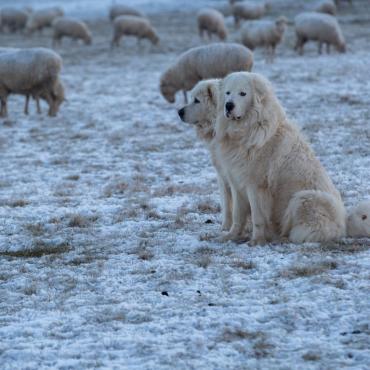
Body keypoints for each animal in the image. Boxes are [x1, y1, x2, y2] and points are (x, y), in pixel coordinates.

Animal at [214, 72, 346, 246]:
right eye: (228, 93)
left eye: (243, 93)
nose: (228, 105)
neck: (247, 130)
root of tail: (342, 228)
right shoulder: (237, 183)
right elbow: (237, 216)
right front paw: (230, 236)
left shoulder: (256, 186)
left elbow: (257, 217)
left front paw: (256, 241)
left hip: (303, 198)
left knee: (300, 231)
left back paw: (281, 237)